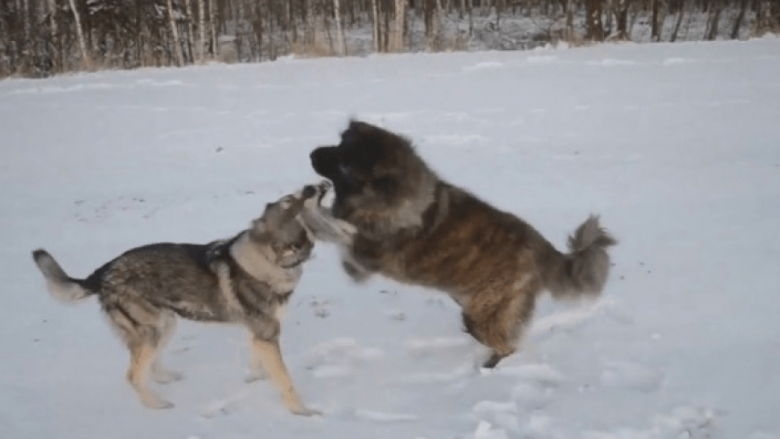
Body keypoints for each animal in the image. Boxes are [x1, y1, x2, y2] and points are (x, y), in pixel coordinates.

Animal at [308, 119, 620, 368]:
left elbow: (338, 228)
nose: (311, 153)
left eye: (345, 164)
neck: (392, 198)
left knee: (506, 344)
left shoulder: (363, 257)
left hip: (483, 315)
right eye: (339, 144)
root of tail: (541, 246)